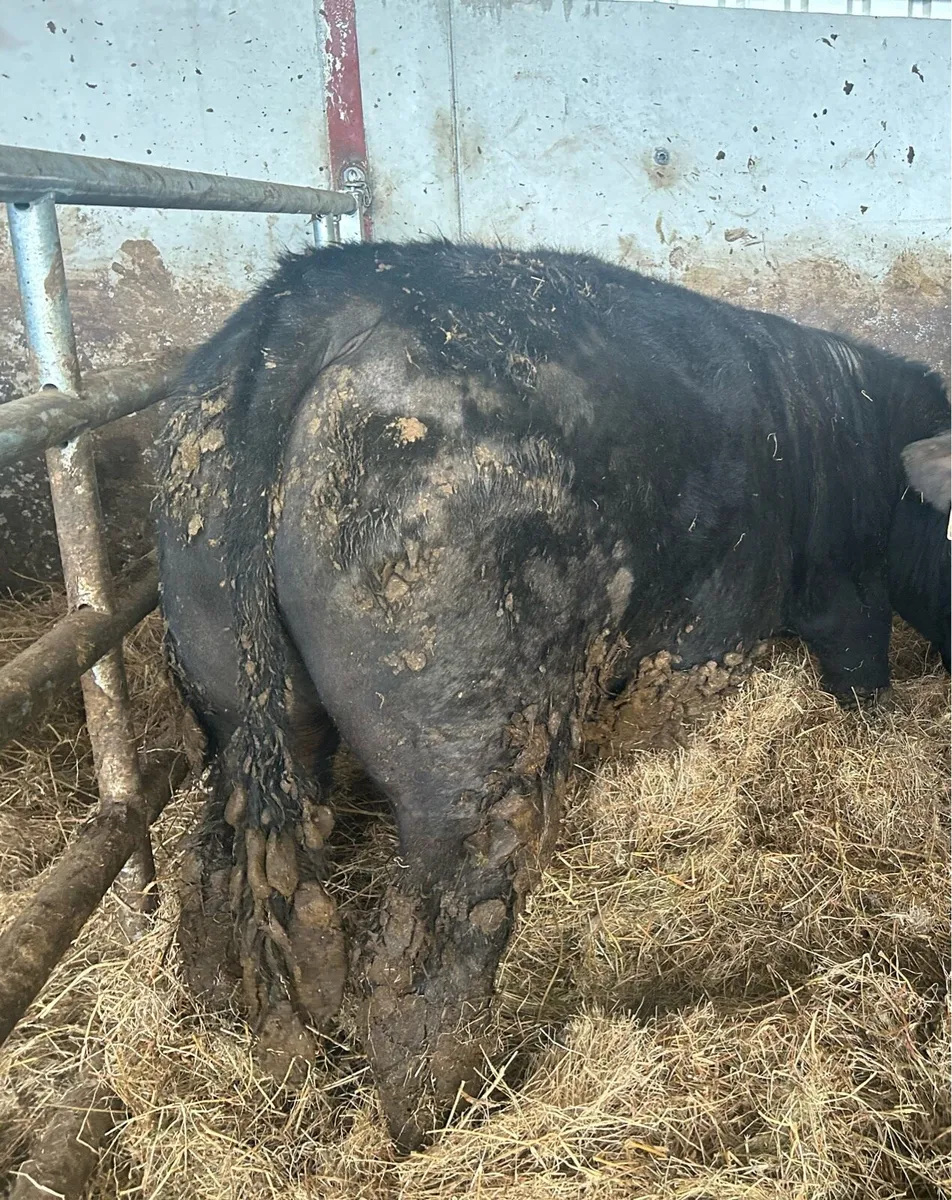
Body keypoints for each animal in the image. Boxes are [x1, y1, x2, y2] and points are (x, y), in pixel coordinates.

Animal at [155, 241, 950, 1148]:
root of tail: (307, 299)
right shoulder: (846, 589)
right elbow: (861, 668)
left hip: (230, 679)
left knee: (216, 862)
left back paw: (248, 1041)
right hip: (476, 734)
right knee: (429, 949)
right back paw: (446, 1113)